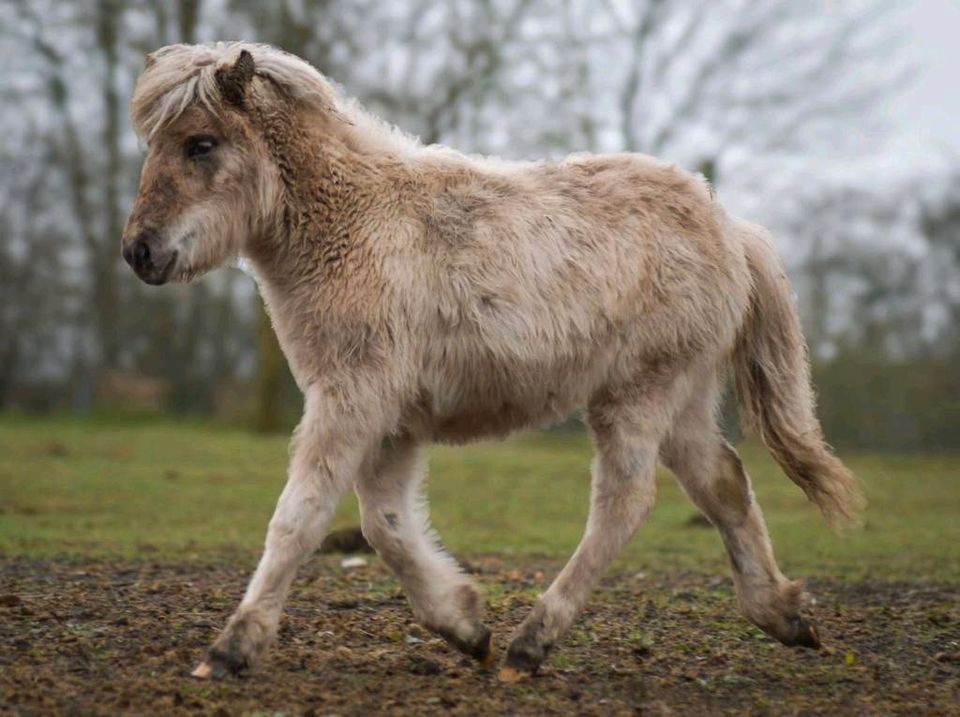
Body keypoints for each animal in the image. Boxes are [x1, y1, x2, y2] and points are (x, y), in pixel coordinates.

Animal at [120, 42, 864, 680]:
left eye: (201, 143)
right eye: (154, 143)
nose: (139, 252)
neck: (354, 225)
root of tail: (733, 230)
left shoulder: (351, 400)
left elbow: (300, 517)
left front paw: (231, 647)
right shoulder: (392, 420)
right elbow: (385, 525)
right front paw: (463, 623)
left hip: (637, 394)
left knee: (625, 504)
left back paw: (532, 643)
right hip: (680, 400)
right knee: (724, 484)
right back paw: (783, 615)